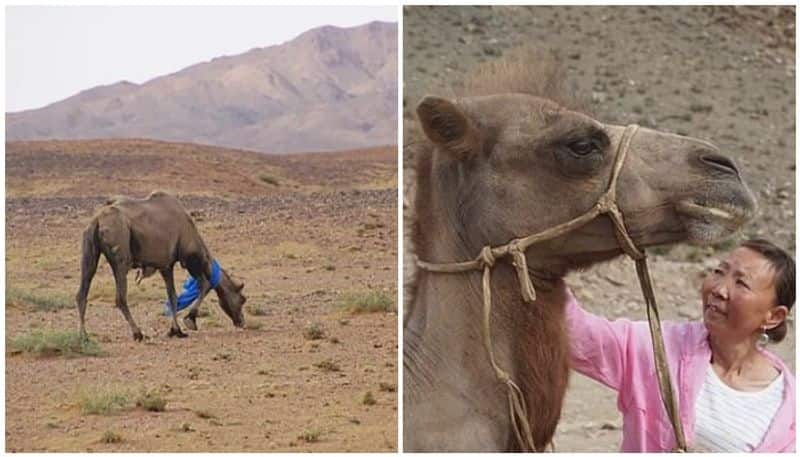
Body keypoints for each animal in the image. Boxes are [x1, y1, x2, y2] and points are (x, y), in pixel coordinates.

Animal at [78, 189, 248, 338]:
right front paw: (189, 321)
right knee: (120, 298)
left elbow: (172, 296)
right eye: (242, 299)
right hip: (120, 255)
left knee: (82, 292)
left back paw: (84, 336)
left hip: (89, 250)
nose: (241, 322)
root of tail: (97, 221)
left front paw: (176, 330)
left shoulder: (165, 265)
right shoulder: (189, 258)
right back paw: (138, 333)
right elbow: (205, 284)